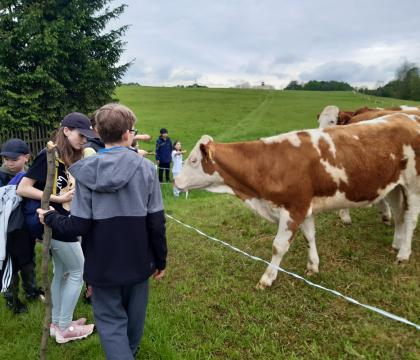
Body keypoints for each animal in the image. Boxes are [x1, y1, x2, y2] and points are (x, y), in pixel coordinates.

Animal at [175, 114, 420, 290]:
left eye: (194, 160)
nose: (175, 181)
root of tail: (405, 116)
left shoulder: (294, 208)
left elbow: (278, 246)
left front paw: (267, 279)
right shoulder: (304, 206)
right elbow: (309, 236)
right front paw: (313, 266)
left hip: (413, 185)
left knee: (409, 218)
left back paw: (403, 254)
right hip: (394, 186)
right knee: (399, 214)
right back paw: (396, 244)